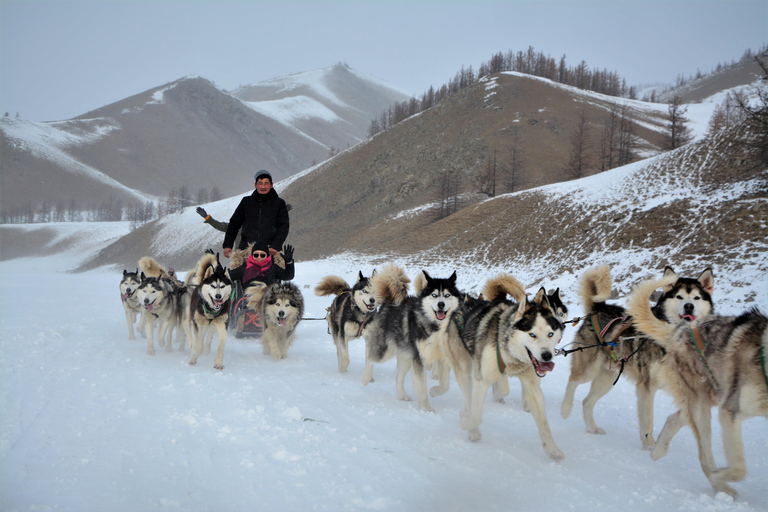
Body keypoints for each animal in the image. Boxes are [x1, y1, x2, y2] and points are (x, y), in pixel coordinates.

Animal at [560, 266, 712, 450]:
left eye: (697, 298)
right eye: (679, 297)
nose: (689, 306)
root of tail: (599, 308)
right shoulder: (646, 387)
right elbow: (648, 422)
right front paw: (650, 446)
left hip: (607, 379)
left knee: (587, 402)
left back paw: (591, 428)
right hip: (588, 370)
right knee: (572, 381)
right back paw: (565, 409)